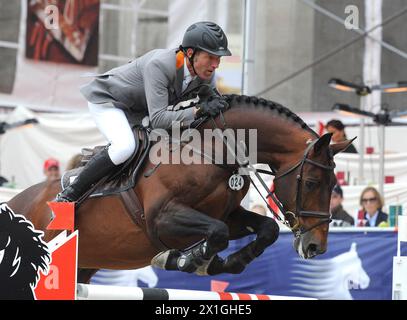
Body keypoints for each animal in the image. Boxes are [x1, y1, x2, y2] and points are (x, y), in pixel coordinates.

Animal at [4, 94, 352, 282]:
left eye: (334, 184)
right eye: (311, 183)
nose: (315, 247)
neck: (213, 151)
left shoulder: (227, 215)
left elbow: (264, 229)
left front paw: (225, 263)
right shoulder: (162, 219)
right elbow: (215, 234)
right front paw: (184, 260)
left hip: (84, 266)